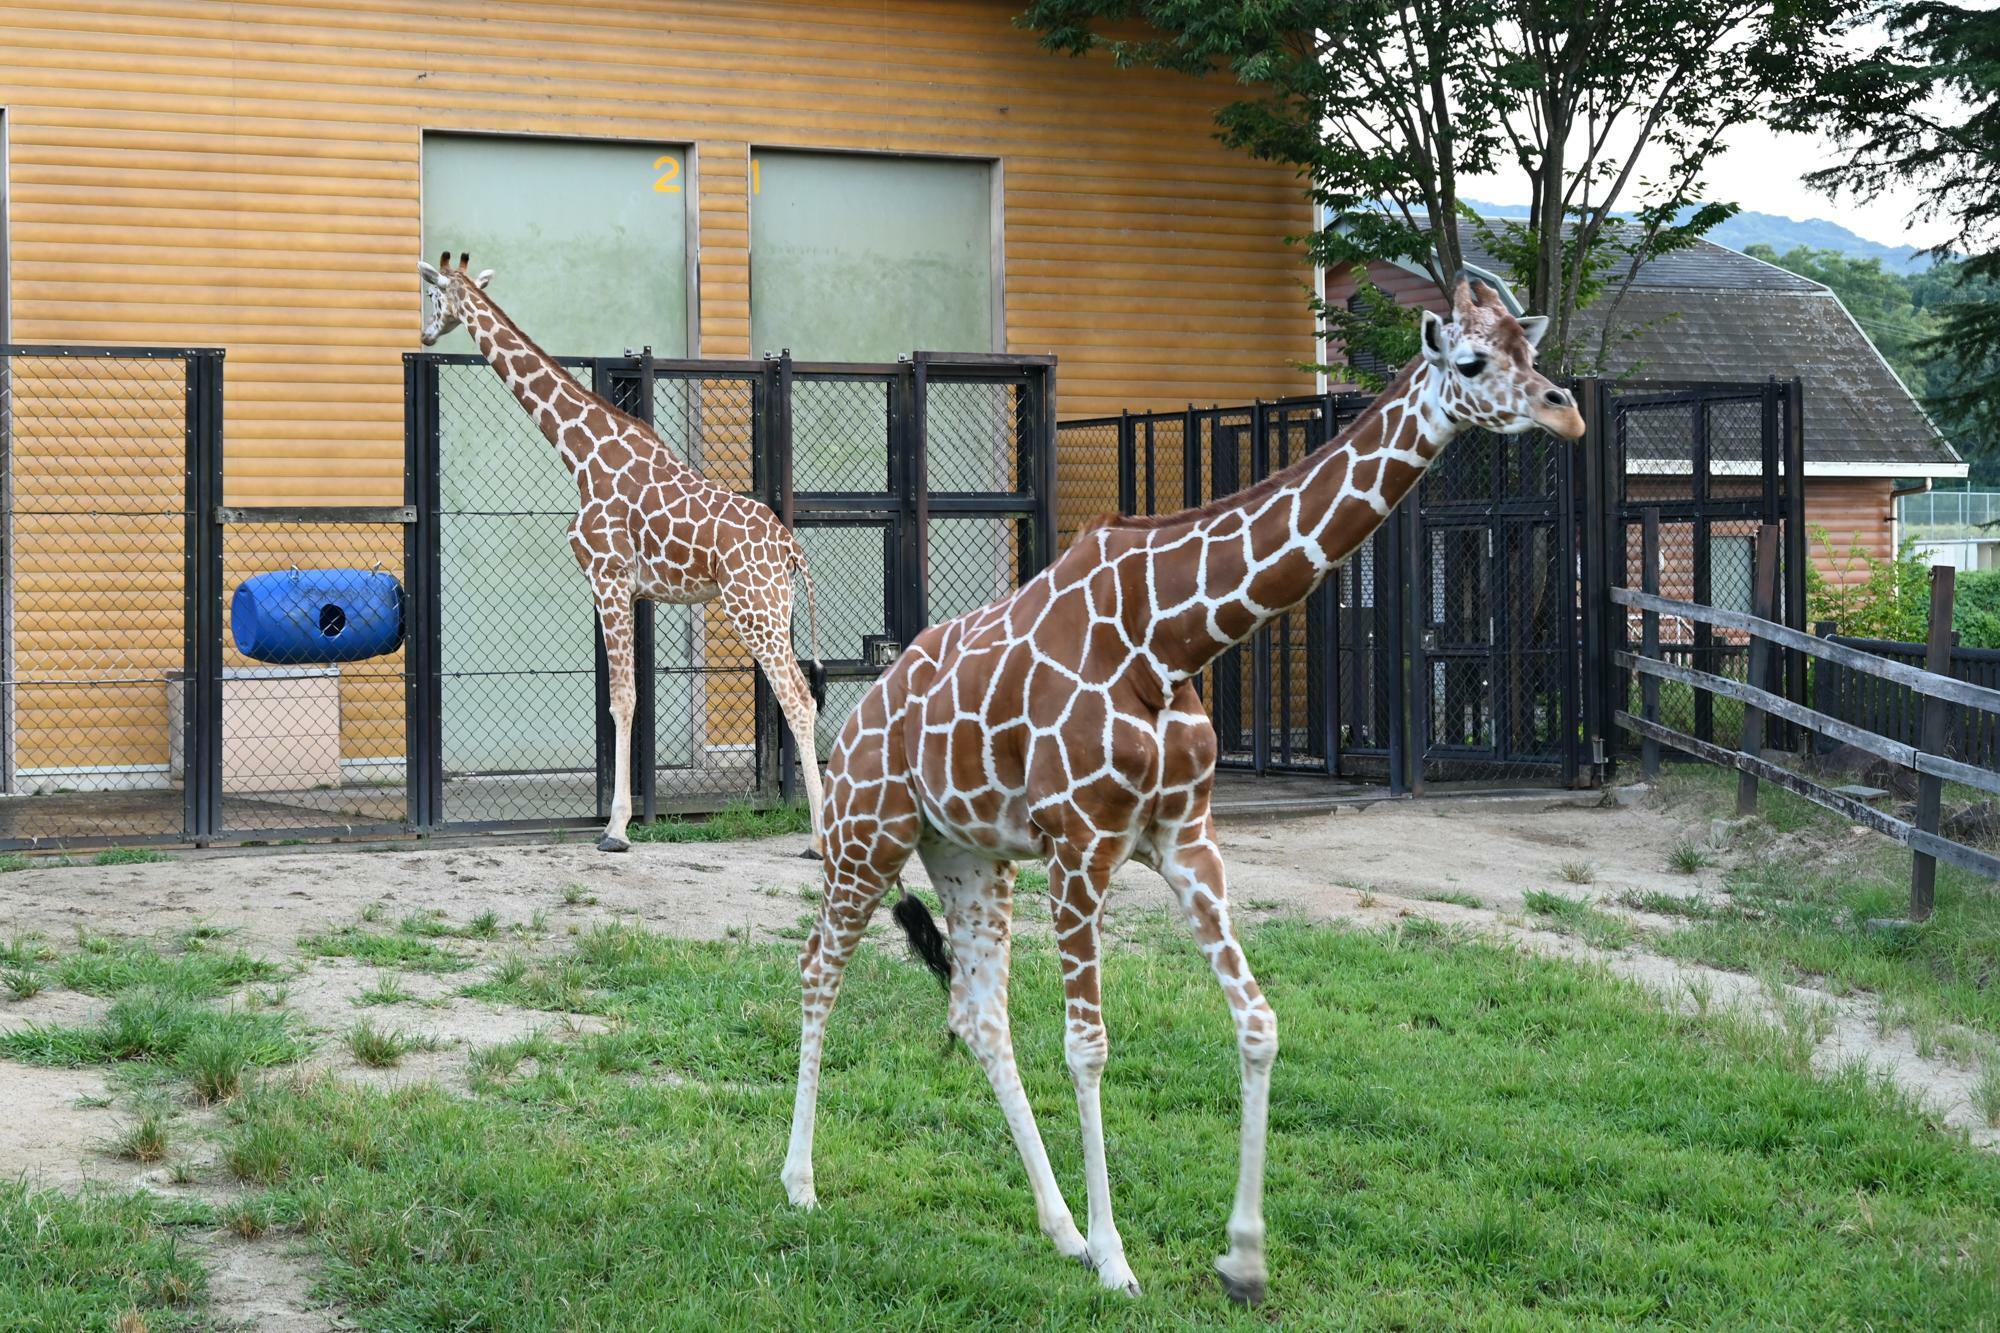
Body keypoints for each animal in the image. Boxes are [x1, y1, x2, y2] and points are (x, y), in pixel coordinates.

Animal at [422, 252, 828, 852]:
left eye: (431, 296)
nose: (425, 334)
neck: (583, 452)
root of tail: (790, 546)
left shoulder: (607, 576)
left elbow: (620, 698)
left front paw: (615, 829)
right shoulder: (631, 590)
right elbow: (629, 696)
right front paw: (620, 820)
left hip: (751, 608)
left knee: (797, 697)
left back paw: (820, 839)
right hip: (776, 609)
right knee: (801, 696)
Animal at [776, 274, 1576, 1304]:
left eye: (1530, 348)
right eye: (1473, 362)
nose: (1566, 411)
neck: (1170, 639)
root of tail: (864, 704)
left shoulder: (1186, 838)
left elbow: (1260, 1023)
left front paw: (1242, 1256)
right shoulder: (1082, 846)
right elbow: (1089, 1046)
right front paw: (1120, 1261)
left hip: (969, 854)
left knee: (977, 1014)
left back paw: (1058, 1228)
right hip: (868, 831)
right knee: (818, 970)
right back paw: (801, 1183)